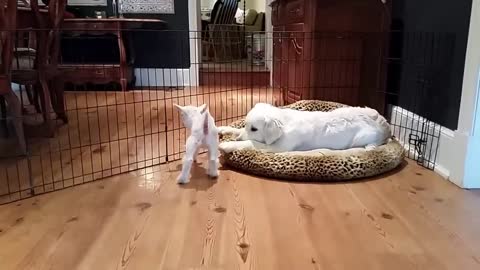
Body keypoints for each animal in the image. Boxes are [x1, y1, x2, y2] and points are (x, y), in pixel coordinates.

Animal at [218, 103, 390, 153]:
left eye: (254, 129)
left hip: (361, 138)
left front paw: (228, 145)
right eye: (247, 125)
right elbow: (238, 130)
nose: (237, 139)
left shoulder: (279, 147)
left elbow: (252, 142)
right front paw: (223, 129)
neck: (285, 123)